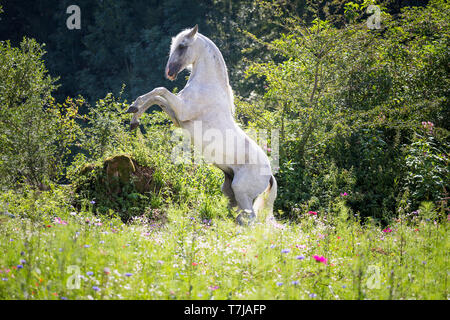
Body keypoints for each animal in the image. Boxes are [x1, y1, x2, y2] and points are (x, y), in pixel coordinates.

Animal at [125, 25, 276, 225]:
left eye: (182, 46)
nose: (169, 73)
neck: (208, 85)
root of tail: (270, 175)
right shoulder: (177, 116)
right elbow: (157, 98)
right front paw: (134, 116)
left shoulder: (182, 110)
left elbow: (159, 91)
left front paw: (134, 110)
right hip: (231, 191)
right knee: (242, 215)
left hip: (241, 192)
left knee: (250, 219)